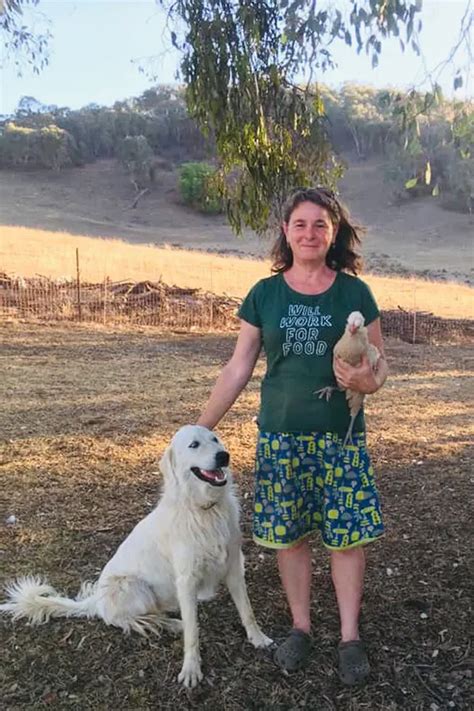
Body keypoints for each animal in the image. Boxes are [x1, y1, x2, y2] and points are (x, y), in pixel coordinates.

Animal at [0, 426, 272, 688]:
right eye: (194, 444)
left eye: (215, 439)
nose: (224, 456)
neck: (204, 510)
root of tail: (96, 600)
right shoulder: (186, 580)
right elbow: (193, 635)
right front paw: (191, 669)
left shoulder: (234, 567)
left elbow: (247, 611)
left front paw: (258, 638)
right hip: (133, 587)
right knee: (130, 620)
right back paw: (173, 624)